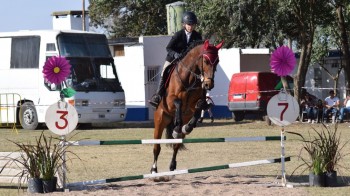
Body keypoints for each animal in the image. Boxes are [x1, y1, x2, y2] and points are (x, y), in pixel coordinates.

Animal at [151, 39, 223, 173]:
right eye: (206, 61)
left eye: (217, 62)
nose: (208, 85)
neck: (190, 78)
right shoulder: (170, 100)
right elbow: (178, 102)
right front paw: (178, 126)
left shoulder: (195, 103)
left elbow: (199, 107)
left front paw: (188, 127)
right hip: (160, 119)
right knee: (156, 147)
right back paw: (154, 169)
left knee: (176, 145)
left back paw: (172, 166)